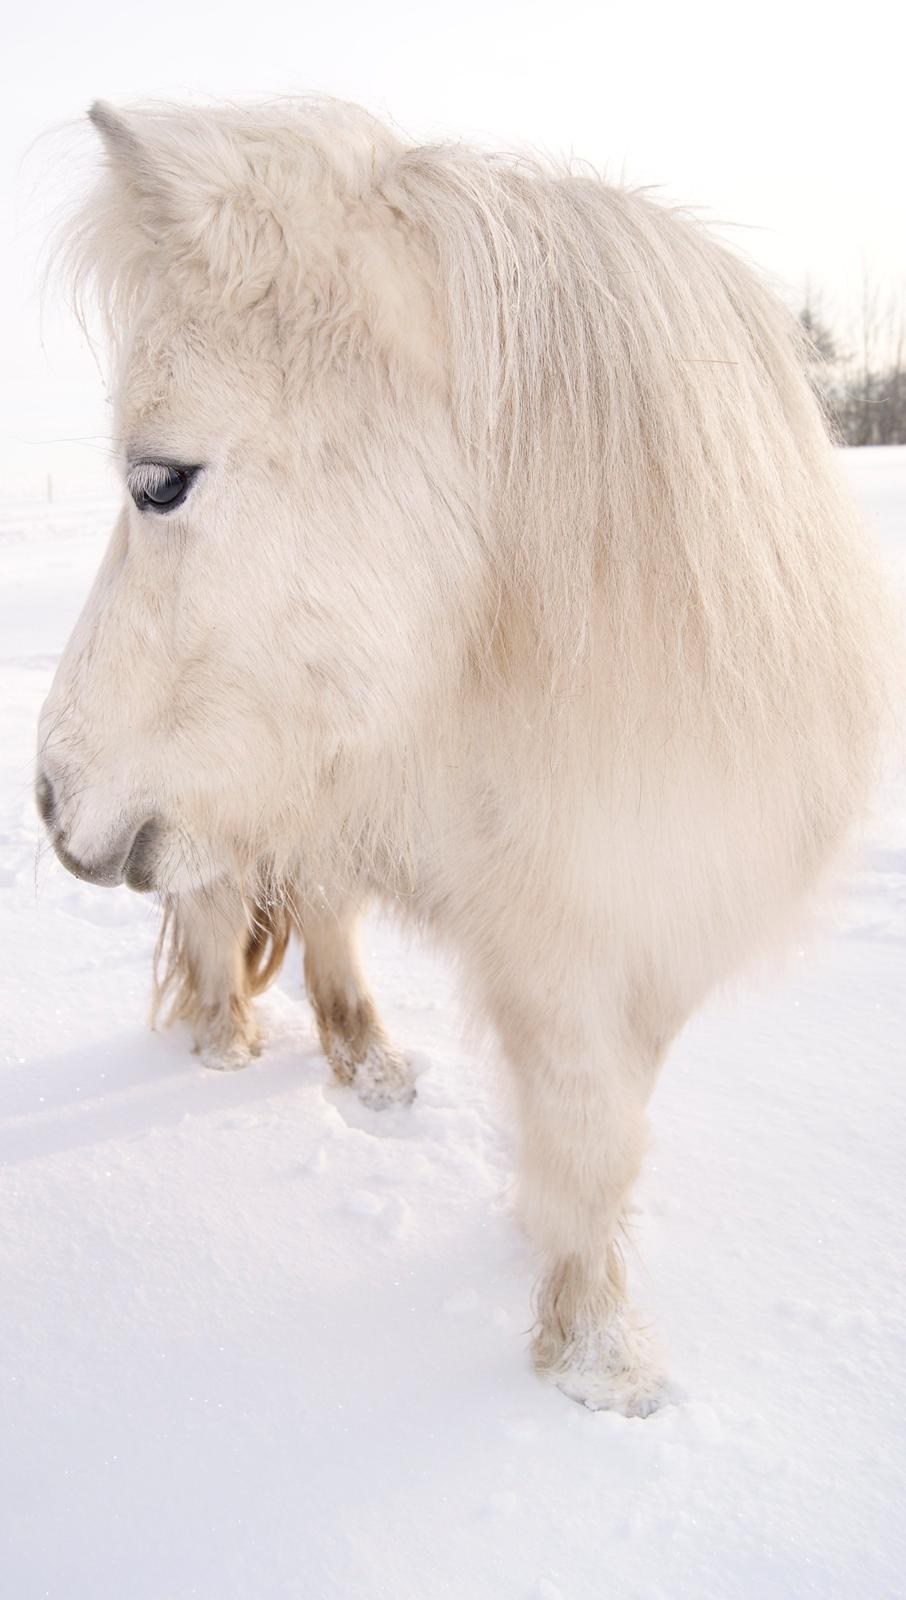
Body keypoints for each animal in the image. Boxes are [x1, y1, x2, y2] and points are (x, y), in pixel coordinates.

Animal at [37, 100, 896, 1414]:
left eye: (160, 481)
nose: (48, 793)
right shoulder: (543, 936)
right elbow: (584, 1117)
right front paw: (595, 1361)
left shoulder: (652, 912)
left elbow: (608, 1115)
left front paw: (570, 1293)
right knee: (228, 906)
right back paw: (229, 1042)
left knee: (322, 904)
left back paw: (369, 1063)